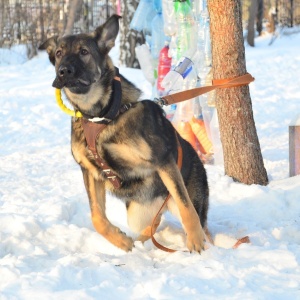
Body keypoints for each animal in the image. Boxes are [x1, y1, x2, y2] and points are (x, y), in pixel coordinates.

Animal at [38, 14, 210, 253]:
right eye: (59, 53)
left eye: (84, 52)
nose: (63, 71)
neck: (101, 116)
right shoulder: (90, 171)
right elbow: (97, 217)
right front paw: (122, 241)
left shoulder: (163, 160)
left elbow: (186, 207)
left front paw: (194, 240)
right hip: (137, 214)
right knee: (154, 221)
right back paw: (140, 240)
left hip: (181, 191)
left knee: (192, 212)